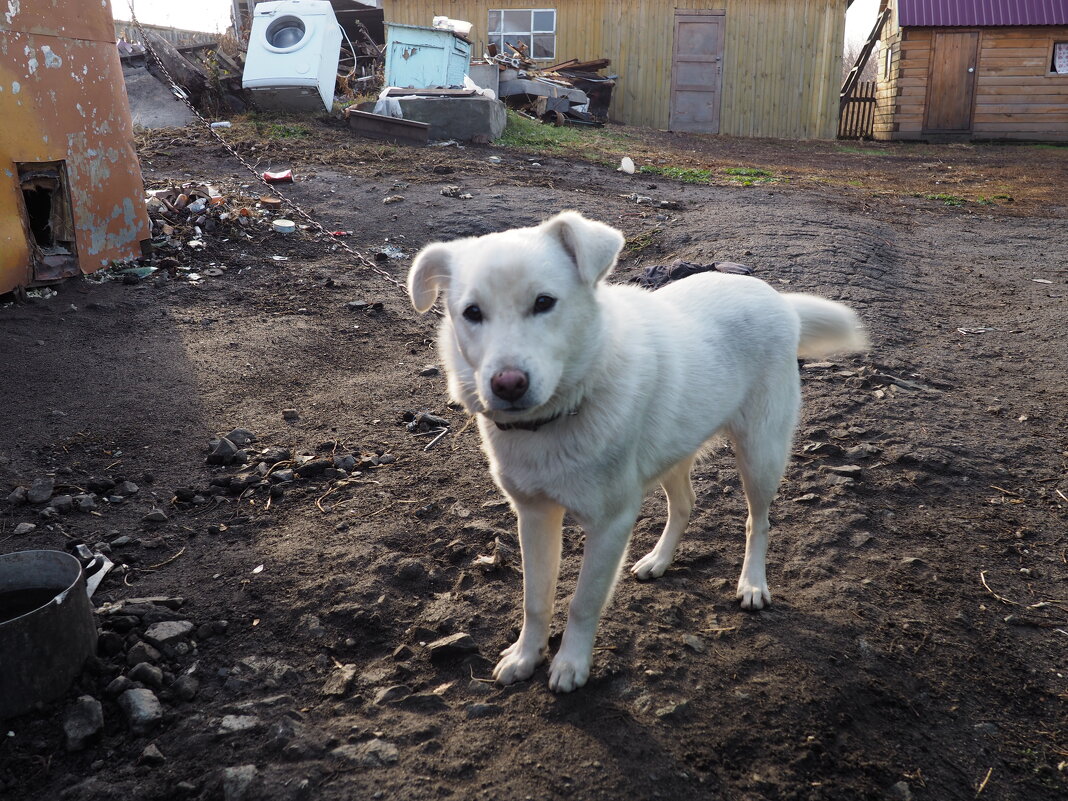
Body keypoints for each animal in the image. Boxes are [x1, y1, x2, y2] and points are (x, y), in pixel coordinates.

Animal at [407, 210, 867, 692]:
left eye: (544, 302)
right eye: (472, 313)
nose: (507, 385)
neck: (562, 411)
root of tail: (777, 298)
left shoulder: (610, 524)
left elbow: (583, 602)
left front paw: (570, 664)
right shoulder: (533, 515)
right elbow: (536, 598)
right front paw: (525, 655)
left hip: (760, 455)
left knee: (757, 522)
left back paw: (753, 584)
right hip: (672, 450)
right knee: (685, 504)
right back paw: (659, 560)